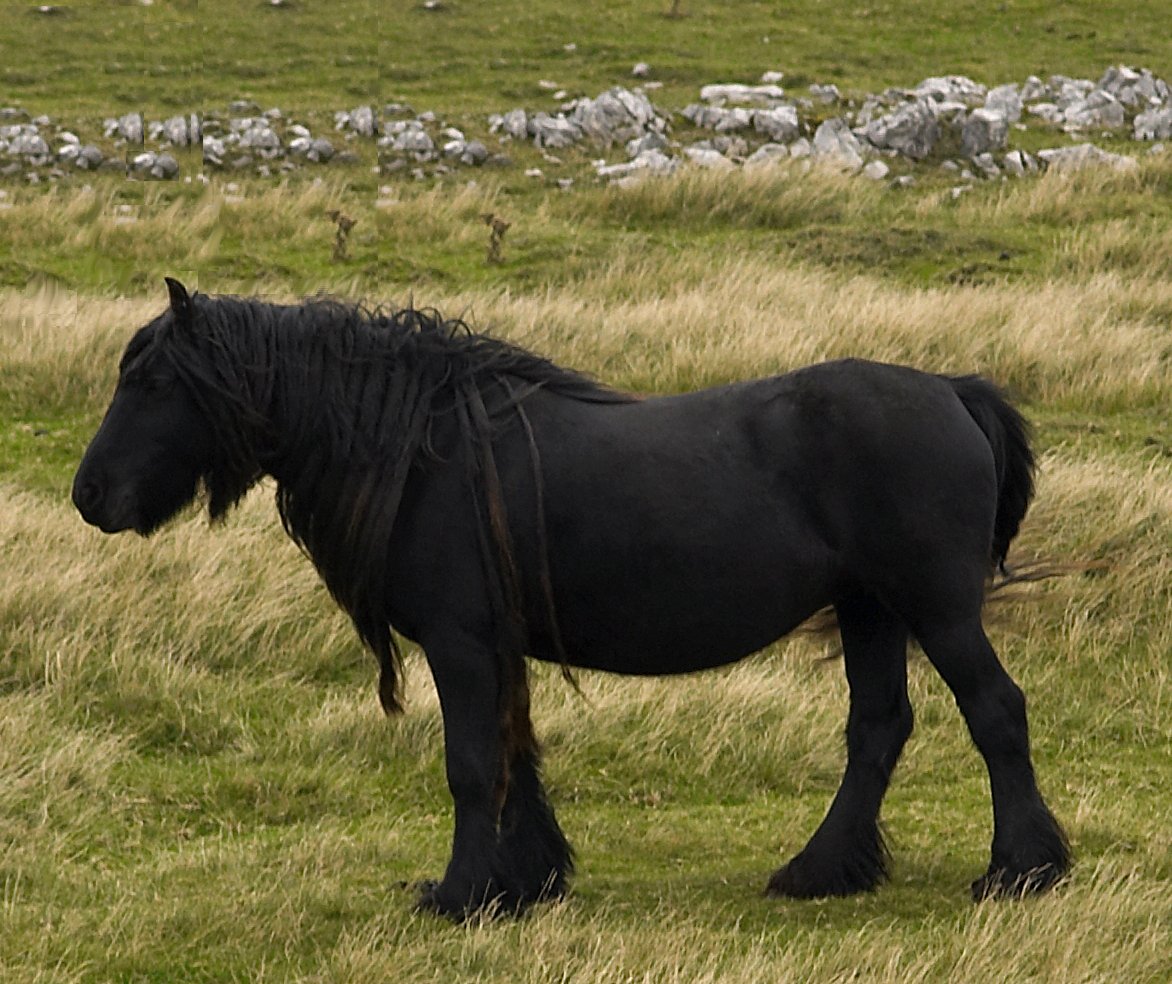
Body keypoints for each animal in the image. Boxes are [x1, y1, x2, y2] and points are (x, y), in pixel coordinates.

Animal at [73, 276, 1073, 913]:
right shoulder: (494, 646)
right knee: (877, 730)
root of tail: (950, 390)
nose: (89, 496)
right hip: (869, 611)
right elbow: (516, 757)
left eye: (153, 381)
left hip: (936, 611)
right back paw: (820, 871)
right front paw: (526, 882)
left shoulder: (461, 643)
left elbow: (472, 764)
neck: (426, 452)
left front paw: (460, 894)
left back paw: (1021, 872)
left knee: (996, 712)